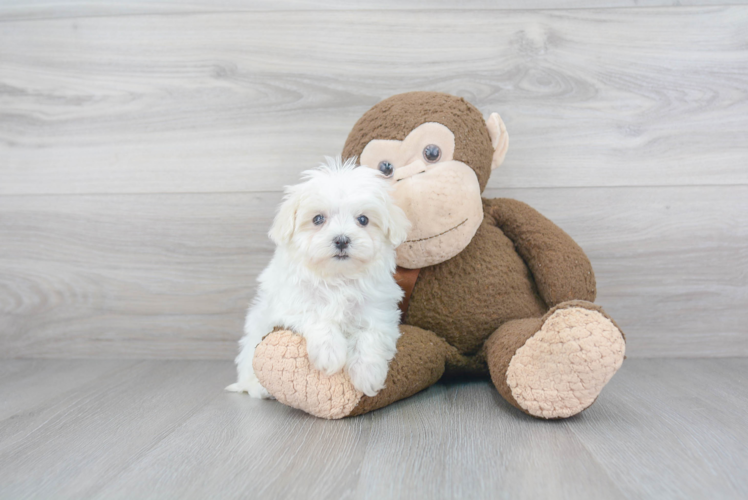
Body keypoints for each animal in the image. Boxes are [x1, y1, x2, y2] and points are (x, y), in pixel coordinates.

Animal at [226, 156, 412, 398]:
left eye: (363, 219)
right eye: (318, 219)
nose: (341, 240)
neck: (337, 277)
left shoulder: (379, 311)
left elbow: (370, 335)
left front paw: (368, 374)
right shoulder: (291, 304)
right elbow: (316, 315)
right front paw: (330, 354)